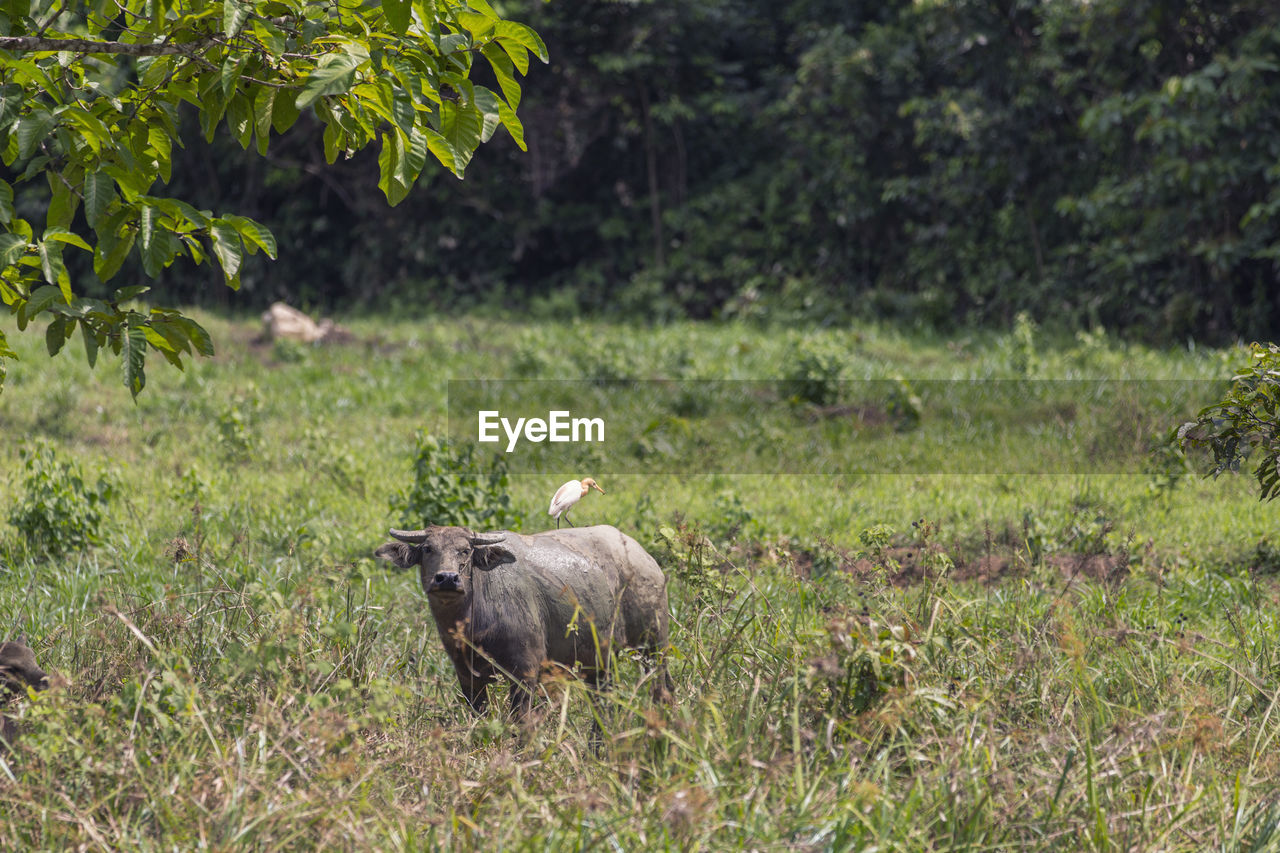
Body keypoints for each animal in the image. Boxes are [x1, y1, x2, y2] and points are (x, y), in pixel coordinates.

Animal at [373, 522, 675, 712]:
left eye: (466, 550)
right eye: (427, 549)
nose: (447, 578)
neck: (476, 623)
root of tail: (646, 559)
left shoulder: (525, 672)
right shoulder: (468, 676)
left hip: (654, 647)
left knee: (661, 692)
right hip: (601, 661)